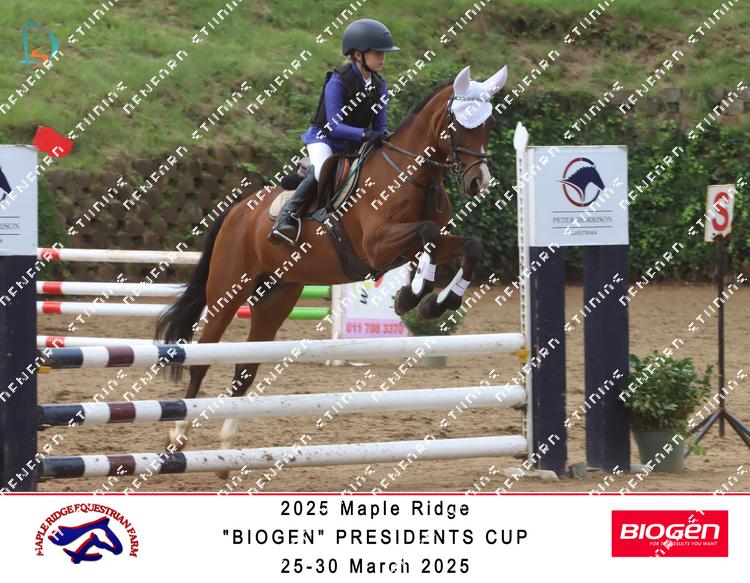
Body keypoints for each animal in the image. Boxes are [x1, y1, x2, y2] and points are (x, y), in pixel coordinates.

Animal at [156, 64, 509, 465]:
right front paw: (415, 293)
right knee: (204, 357)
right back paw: (177, 438)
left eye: (488, 123)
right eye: (458, 124)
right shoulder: (377, 246)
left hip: (276, 296)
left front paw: (435, 301)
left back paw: (227, 452)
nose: (479, 182)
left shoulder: (417, 245)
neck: (411, 173)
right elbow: (429, 232)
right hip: (229, 290)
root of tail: (237, 210)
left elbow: (470, 246)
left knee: (246, 368)